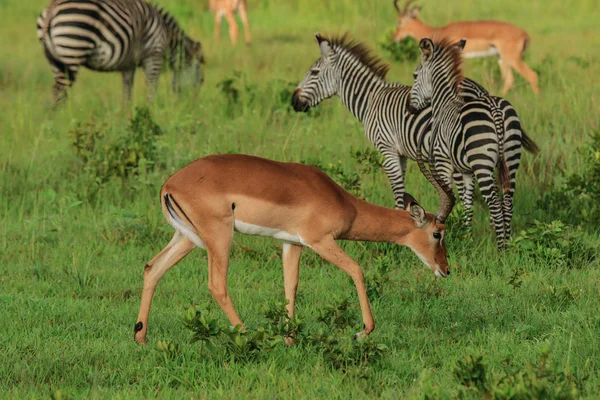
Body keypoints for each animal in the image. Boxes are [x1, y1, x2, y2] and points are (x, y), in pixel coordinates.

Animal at [38, 0, 206, 104]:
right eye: (201, 80)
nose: (193, 105)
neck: (165, 32)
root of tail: (53, 7)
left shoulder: (128, 64)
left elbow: (127, 93)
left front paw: (127, 118)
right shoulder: (154, 55)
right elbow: (151, 88)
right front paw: (152, 113)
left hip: (56, 59)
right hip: (72, 47)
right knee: (58, 93)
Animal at [132, 153, 450, 344]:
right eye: (437, 233)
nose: (446, 270)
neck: (343, 201)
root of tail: (169, 186)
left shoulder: (293, 243)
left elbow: (290, 285)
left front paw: (290, 338)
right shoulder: (320, 241)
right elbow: (357, 270)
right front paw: (362, 332)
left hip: (187, 238)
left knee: (152, 268)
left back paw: (141, 337)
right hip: (219, 236)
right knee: (216, 284)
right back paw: (249, 336)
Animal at [290, 32, 536, 227]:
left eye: (314, 72)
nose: (293, 101)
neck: (371, 100)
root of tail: (482, 92)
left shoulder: (387, 148)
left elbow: (398, 190)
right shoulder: (401, 153)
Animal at [394, 0, 540, 95]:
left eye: (400, 21)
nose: (394, 37)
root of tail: (525, 34)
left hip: (512, 58)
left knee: (532, 75)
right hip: (501, 58)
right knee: (509, 80)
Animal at [408, 39, 540, 248]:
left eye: (415, 75)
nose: (409, 107)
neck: (445, 103)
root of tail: (494, 108)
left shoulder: (444, 163)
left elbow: (450, 196)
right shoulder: (466, 171)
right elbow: (468, 202)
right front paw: (467, 238)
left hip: (483, 163)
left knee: (494, 204)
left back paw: (500, 249)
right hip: (510, 157)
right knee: (507, 201)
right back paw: (507, 244)